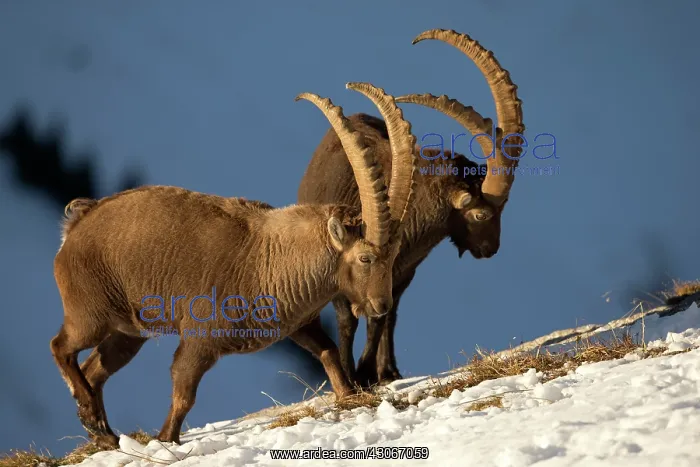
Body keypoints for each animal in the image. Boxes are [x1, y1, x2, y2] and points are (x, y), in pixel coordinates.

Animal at [50, 82, 417, 448]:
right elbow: (183, 392)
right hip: (90, 313)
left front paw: (349, 396)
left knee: (96, 368)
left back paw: (103, 433)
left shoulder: (296, 323)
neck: (274, 259)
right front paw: (166, 441)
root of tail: (76, 225)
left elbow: (327, 351)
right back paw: (93, 416)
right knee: (62, 347)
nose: (381, 305)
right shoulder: (200, 337)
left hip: (128, 331)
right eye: (366, 257)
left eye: (393, 255)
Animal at [298, 29, 525, 387]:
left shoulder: (400, 273)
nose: (490, 249)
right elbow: (348, 319)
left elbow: (384, 316)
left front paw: (376, 373)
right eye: (481, 214)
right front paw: (353, 375)